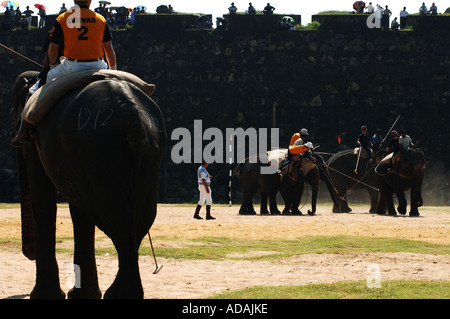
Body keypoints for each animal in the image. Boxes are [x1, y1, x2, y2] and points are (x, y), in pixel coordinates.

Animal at [10, 71, 165, 298]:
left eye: (13, 114)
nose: (30, 251)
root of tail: (133, 120)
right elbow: (80, 211)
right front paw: (83, 294)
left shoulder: (34, 137)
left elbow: (43, 203)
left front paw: (45, 295)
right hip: (150, 156)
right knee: (141, 218)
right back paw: (120, 292)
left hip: (97, 151)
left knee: (117, 220)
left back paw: (120, 294)